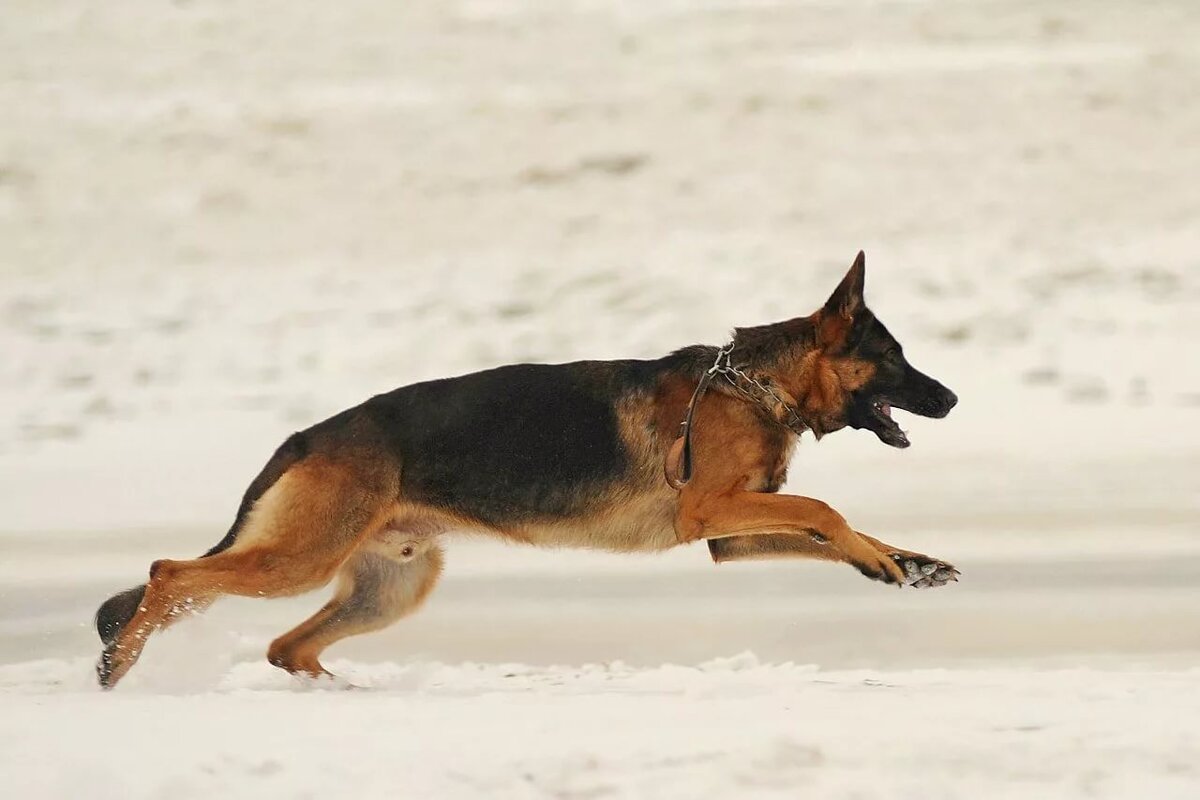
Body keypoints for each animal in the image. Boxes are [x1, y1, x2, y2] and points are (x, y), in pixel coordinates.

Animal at [93, 251, 960, 690]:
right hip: (300, 559)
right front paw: (886, 558)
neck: (753, 381)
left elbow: (830, 525)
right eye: (893, 359)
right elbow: (824, 510)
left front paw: (904, 561)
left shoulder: (732, 533)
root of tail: (306, 437)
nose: (952, 398)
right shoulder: (711, 511)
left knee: (286, 646)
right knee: (169, 573)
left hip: (389, 587)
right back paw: (118, 662)